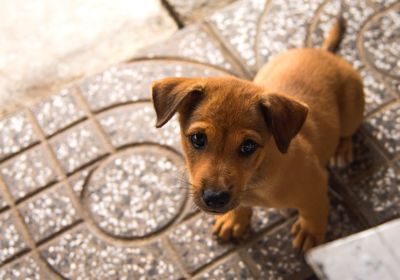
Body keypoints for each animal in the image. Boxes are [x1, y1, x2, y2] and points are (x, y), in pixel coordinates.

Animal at [152, 20, 364, 252]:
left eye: (248, 146)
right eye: (198, 138)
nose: (215, 198)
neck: (256, 178)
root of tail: (324, 53)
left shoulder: (315, 185)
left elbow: (314, 211)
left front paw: (310, 232)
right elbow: (240, 205)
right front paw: (234, 220)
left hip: (352, 111)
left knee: (348, 132)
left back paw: (342, 150)